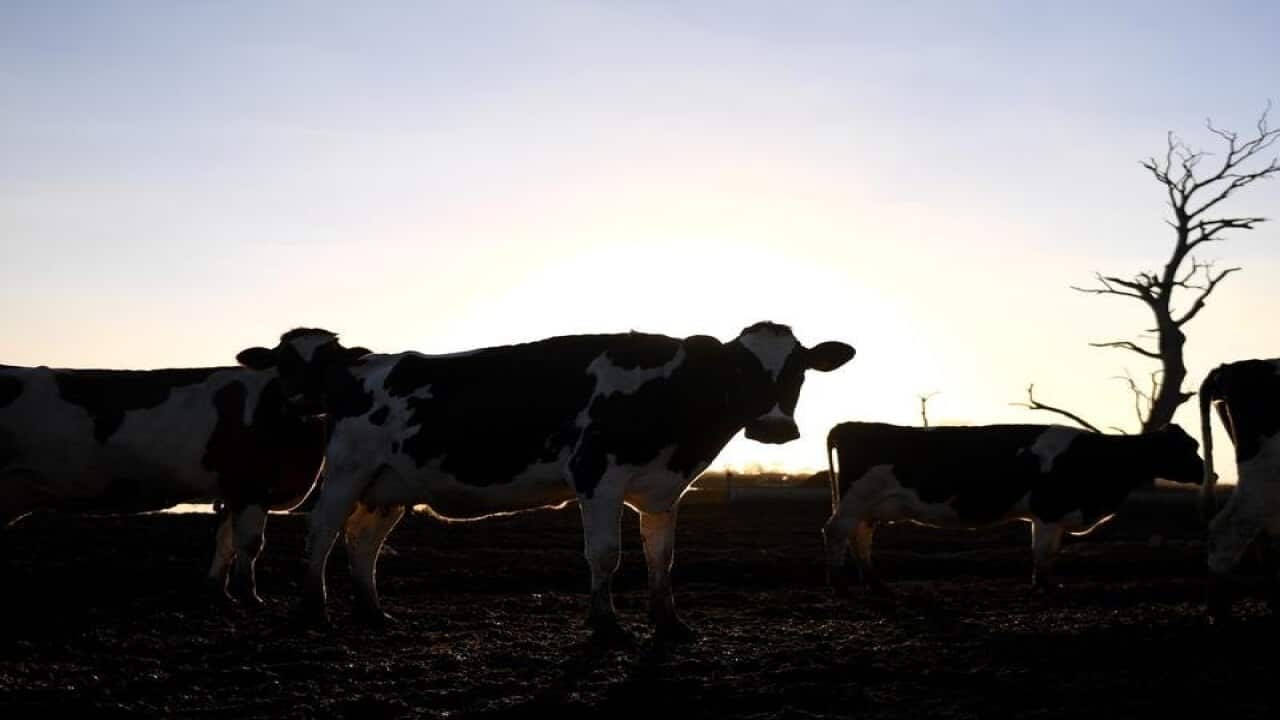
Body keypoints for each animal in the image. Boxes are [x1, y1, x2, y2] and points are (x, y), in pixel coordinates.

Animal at [0, 332, 367, 604]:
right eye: (284, 362)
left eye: (331, 364)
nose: (306, 399)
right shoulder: (251, 487)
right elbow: (250, 544)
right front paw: (251, 597)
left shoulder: (232, 490)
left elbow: (225, 541)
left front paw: (218, 591)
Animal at [235, 323, 855, 642]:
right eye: (739, 370)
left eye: (798, 369)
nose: (773, 428)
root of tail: (358, 363)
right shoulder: (597, 477)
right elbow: (605, 555)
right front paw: (606, 626)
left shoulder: (663, 489)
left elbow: (662, 556)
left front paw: (670, 623)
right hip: (347, 470)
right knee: (320, 534)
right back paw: (313, 610)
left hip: (391, 487)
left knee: (361, 542)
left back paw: (372, 612)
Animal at [821, 421, 1205, 595]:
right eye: (1188, 448)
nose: (1209, 472)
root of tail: (851, 425)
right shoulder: (1049, 512)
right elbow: (1042, 552)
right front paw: (1042, 589)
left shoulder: (1051, 517)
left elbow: (1048, 554)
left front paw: (1046, 584)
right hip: (854, 501)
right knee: (835, 533)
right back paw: (839, 584)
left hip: (867, 507)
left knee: (860, 537)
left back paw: (875, 583)